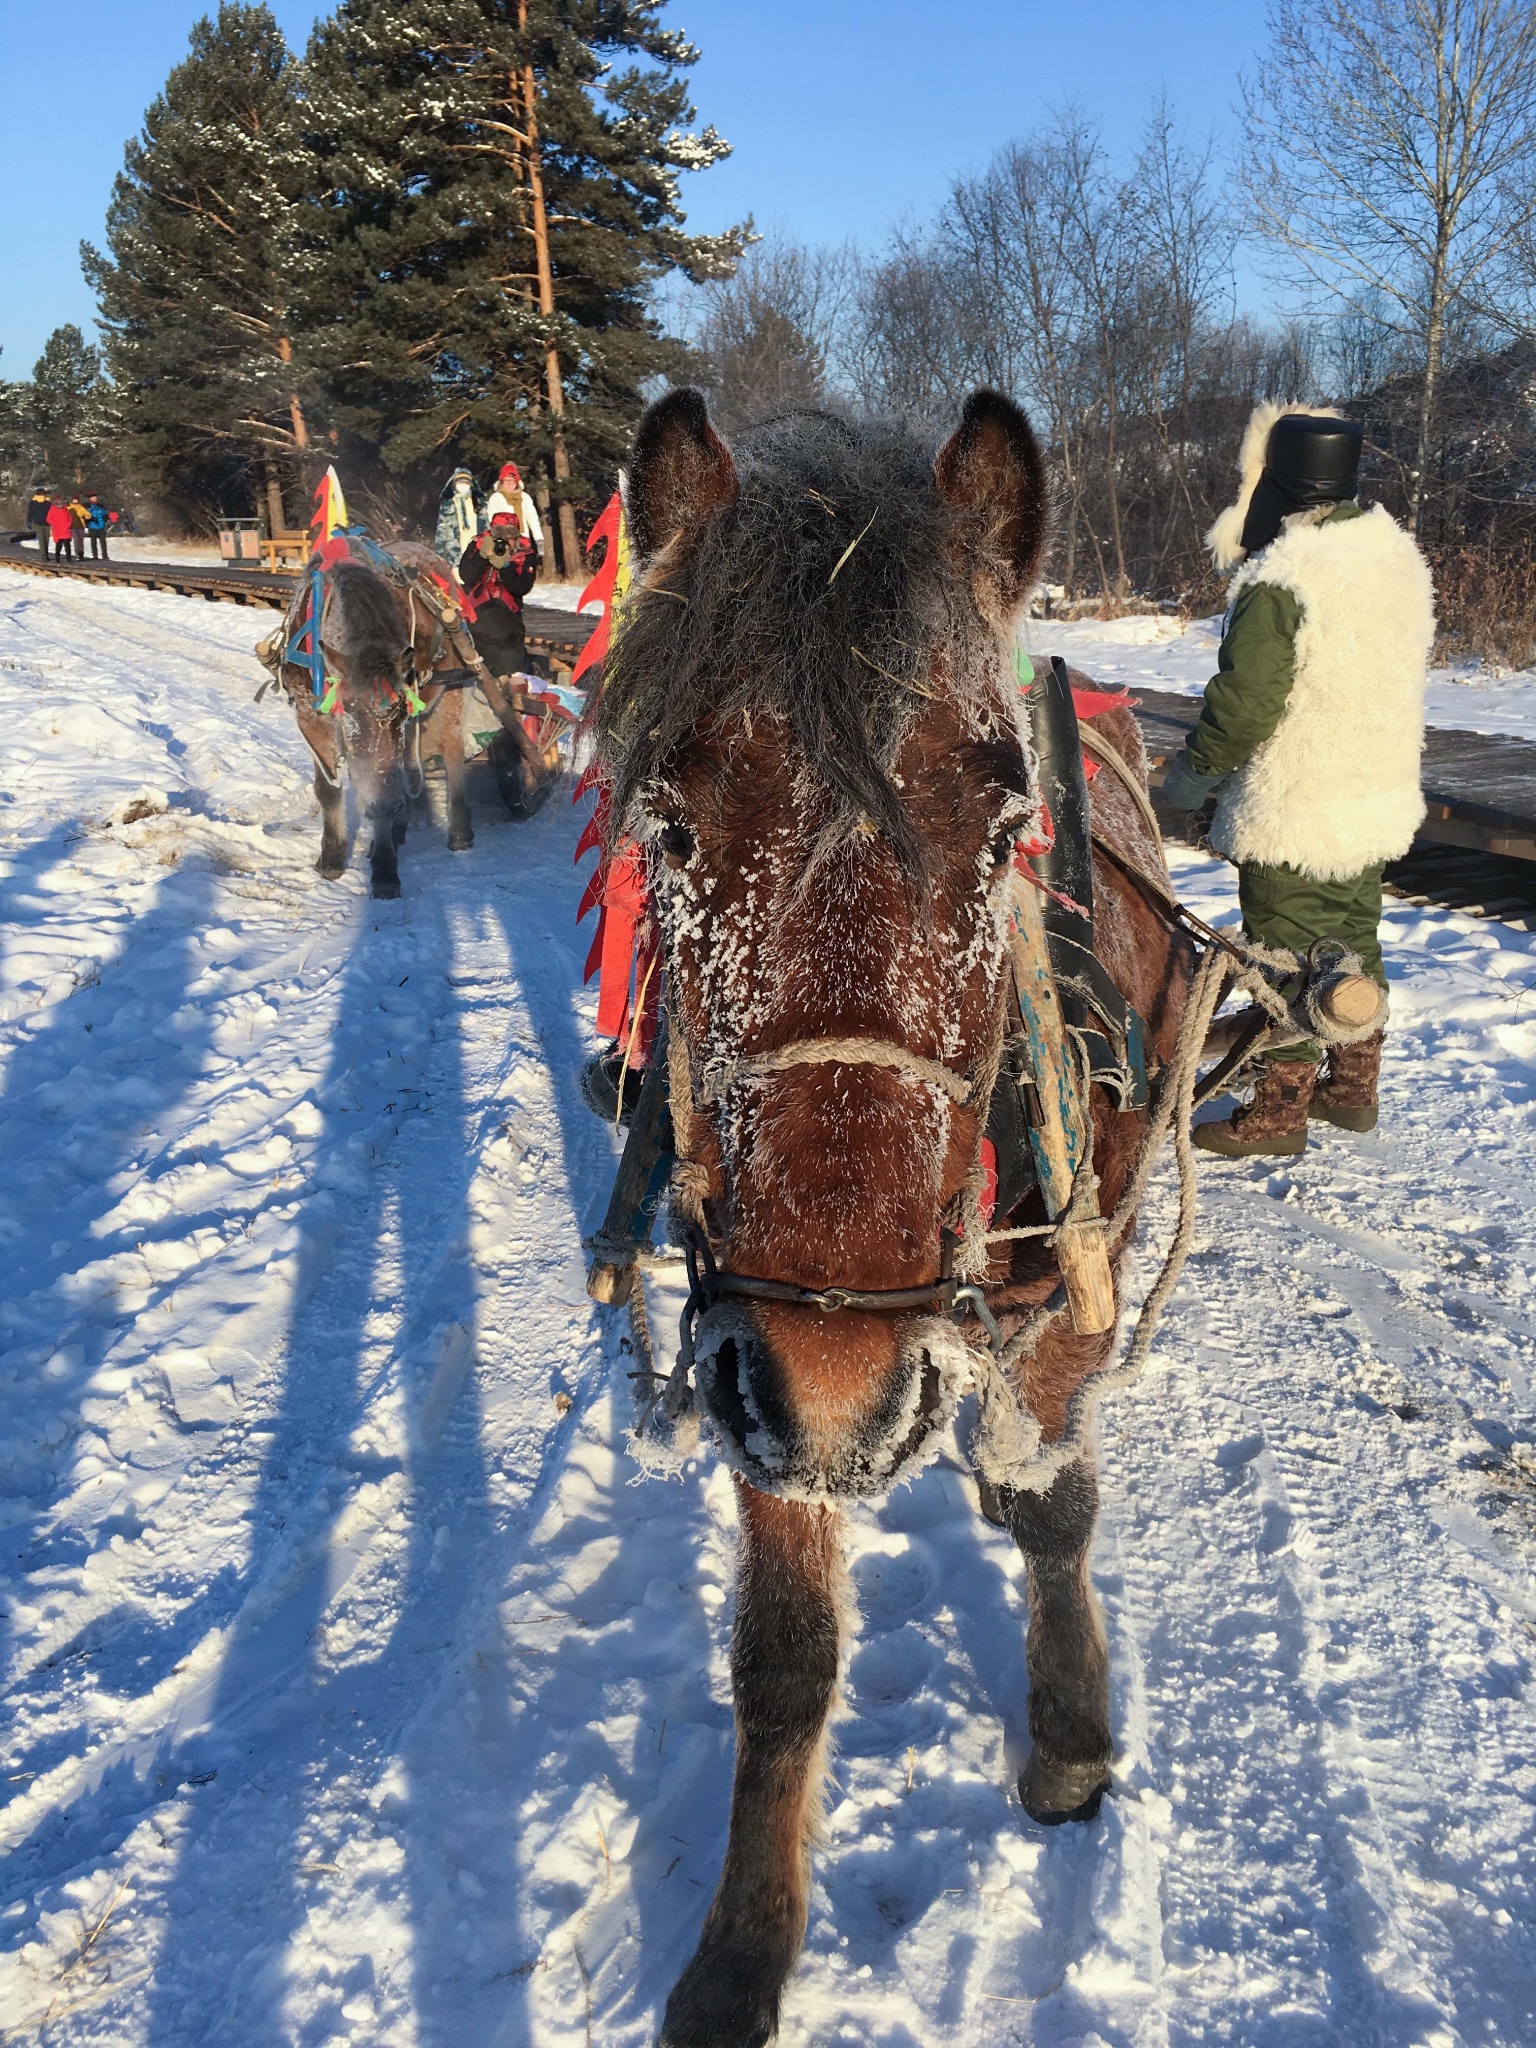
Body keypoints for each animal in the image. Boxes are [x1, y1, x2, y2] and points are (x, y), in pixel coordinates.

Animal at [593, 387, 1196, 2048]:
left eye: (1002, 823)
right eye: (669, 822)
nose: (848, 1379)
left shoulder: (1062, 1286)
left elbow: (1048, 1501)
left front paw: (1068, 1725)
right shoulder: (752, 1347)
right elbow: (786, 1651)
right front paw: (744, 1950)